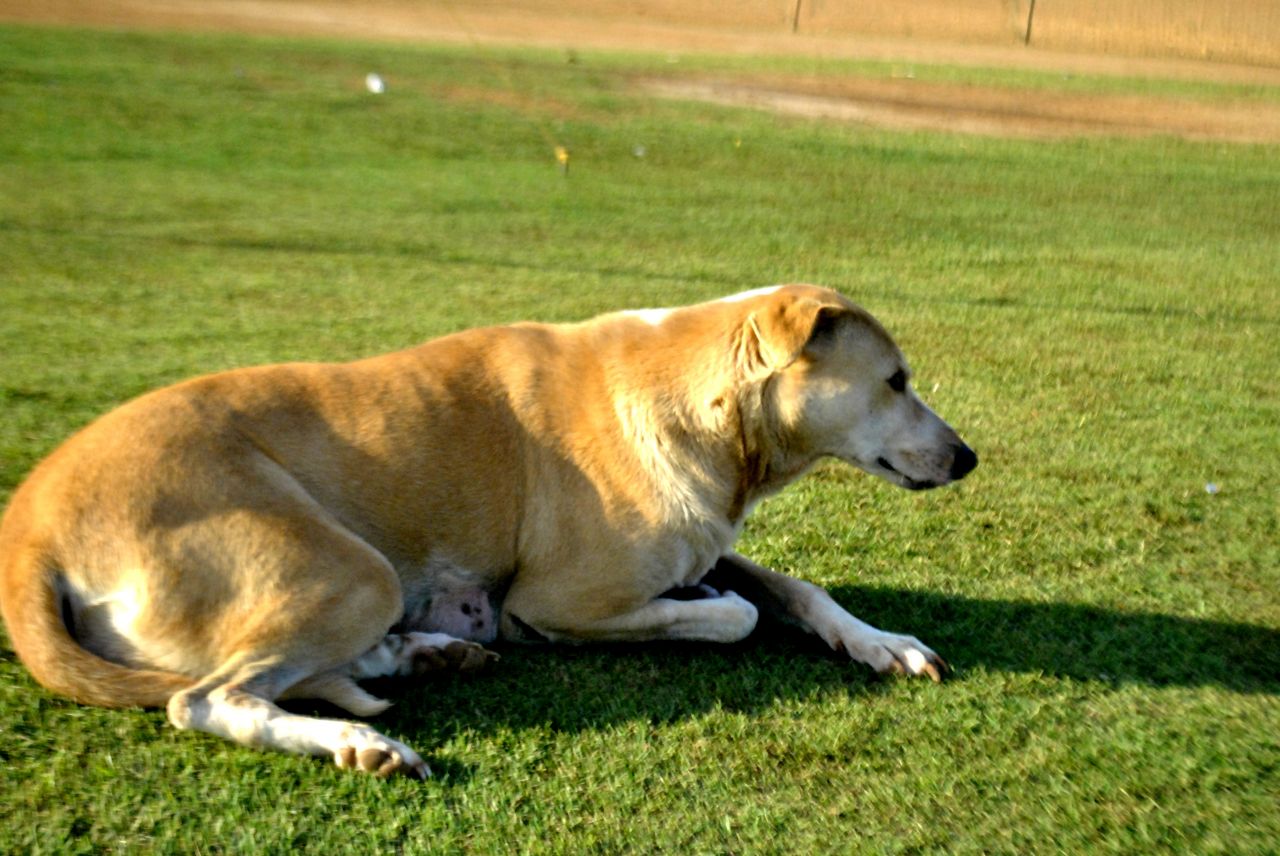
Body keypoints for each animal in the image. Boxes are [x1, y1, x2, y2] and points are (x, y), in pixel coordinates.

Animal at [0, 284, 972, 777]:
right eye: (895, 379)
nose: (966, 457)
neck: (709, 404)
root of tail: (28, 534)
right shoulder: (562, 597)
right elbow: (734, 612)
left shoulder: (707, 536)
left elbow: (797, 588)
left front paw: (883, 642)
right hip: (343, 567)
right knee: (207, 698)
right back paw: (362, 739)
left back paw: (421, 654)